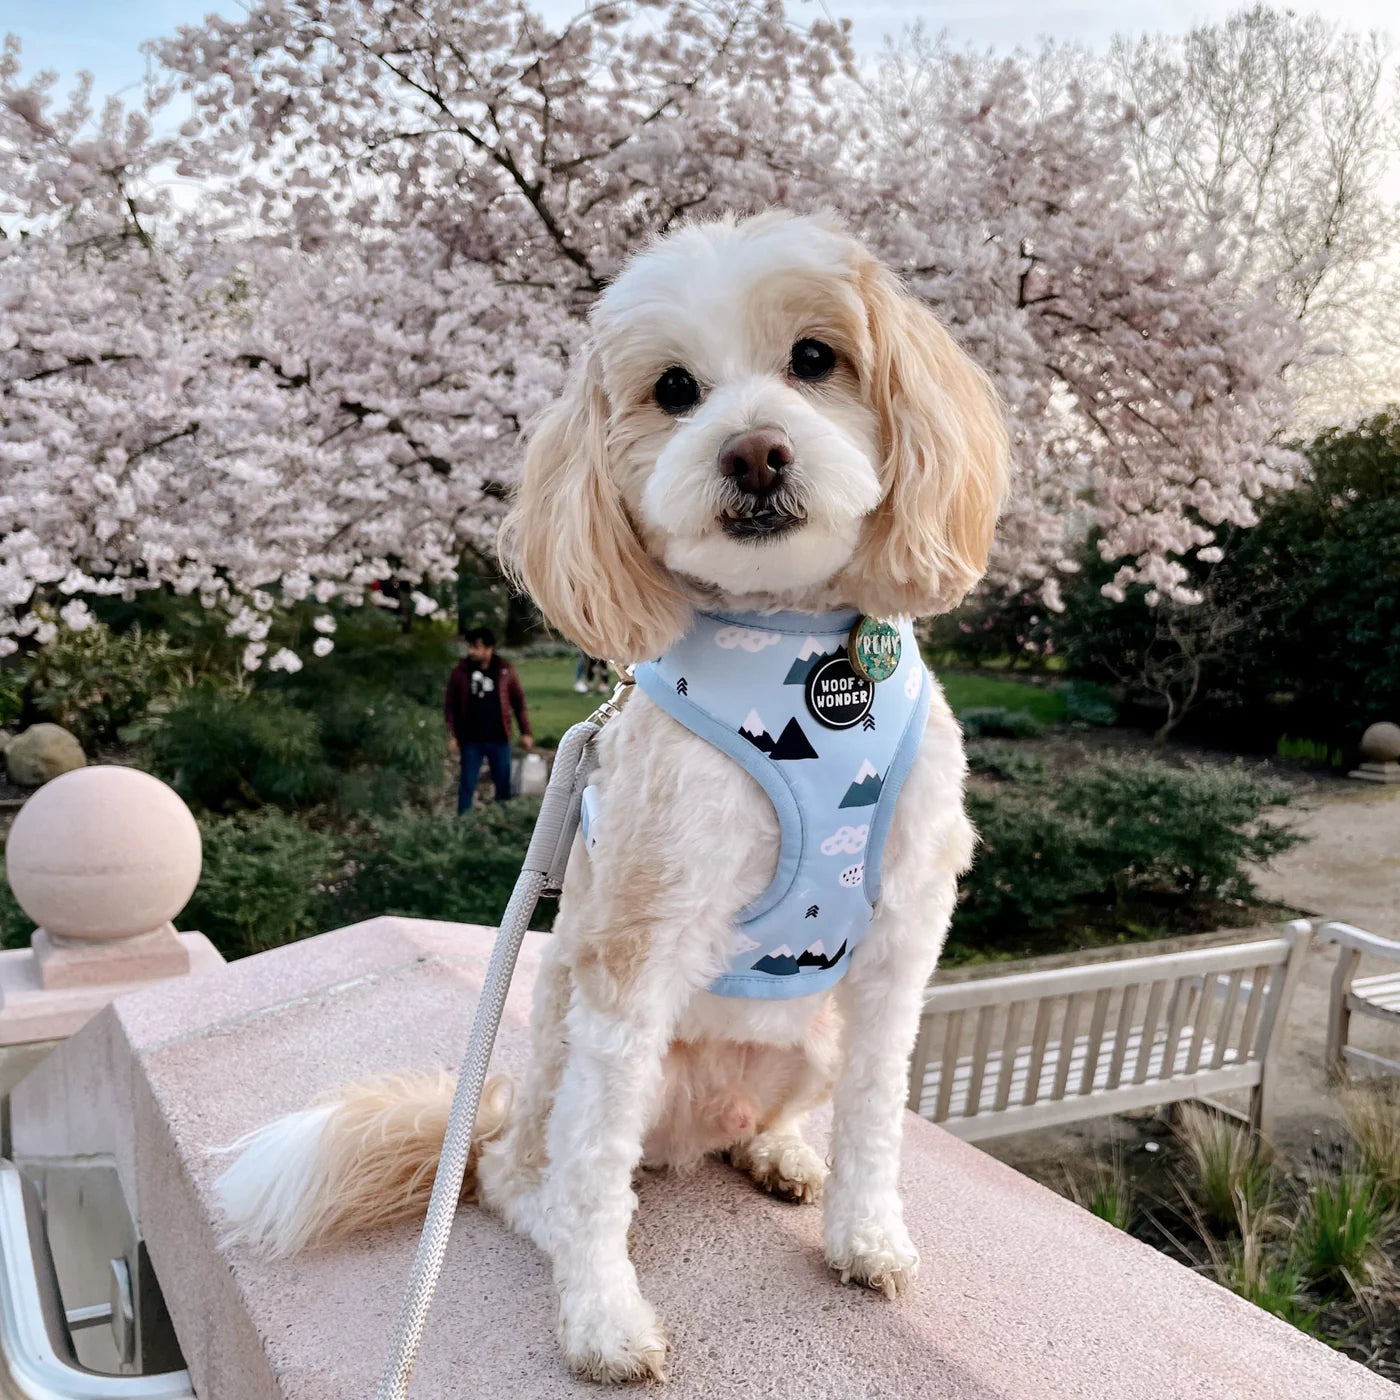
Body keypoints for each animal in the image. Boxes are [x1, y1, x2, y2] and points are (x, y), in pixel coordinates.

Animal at [215, 212, 1008, 1383]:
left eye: (815, 358)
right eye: (673, 388)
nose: (754, 451)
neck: (795, 646)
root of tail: (487, 1116)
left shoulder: (903, 930)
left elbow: (876, 1111)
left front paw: (866, 1237)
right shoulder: (639, 940)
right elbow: (594, 1174)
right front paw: (600, 1320)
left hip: (806, 1033)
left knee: (759, 1120)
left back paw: (777, 1150)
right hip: (566, 1082)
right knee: (540, 1175)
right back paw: (555, 1211)